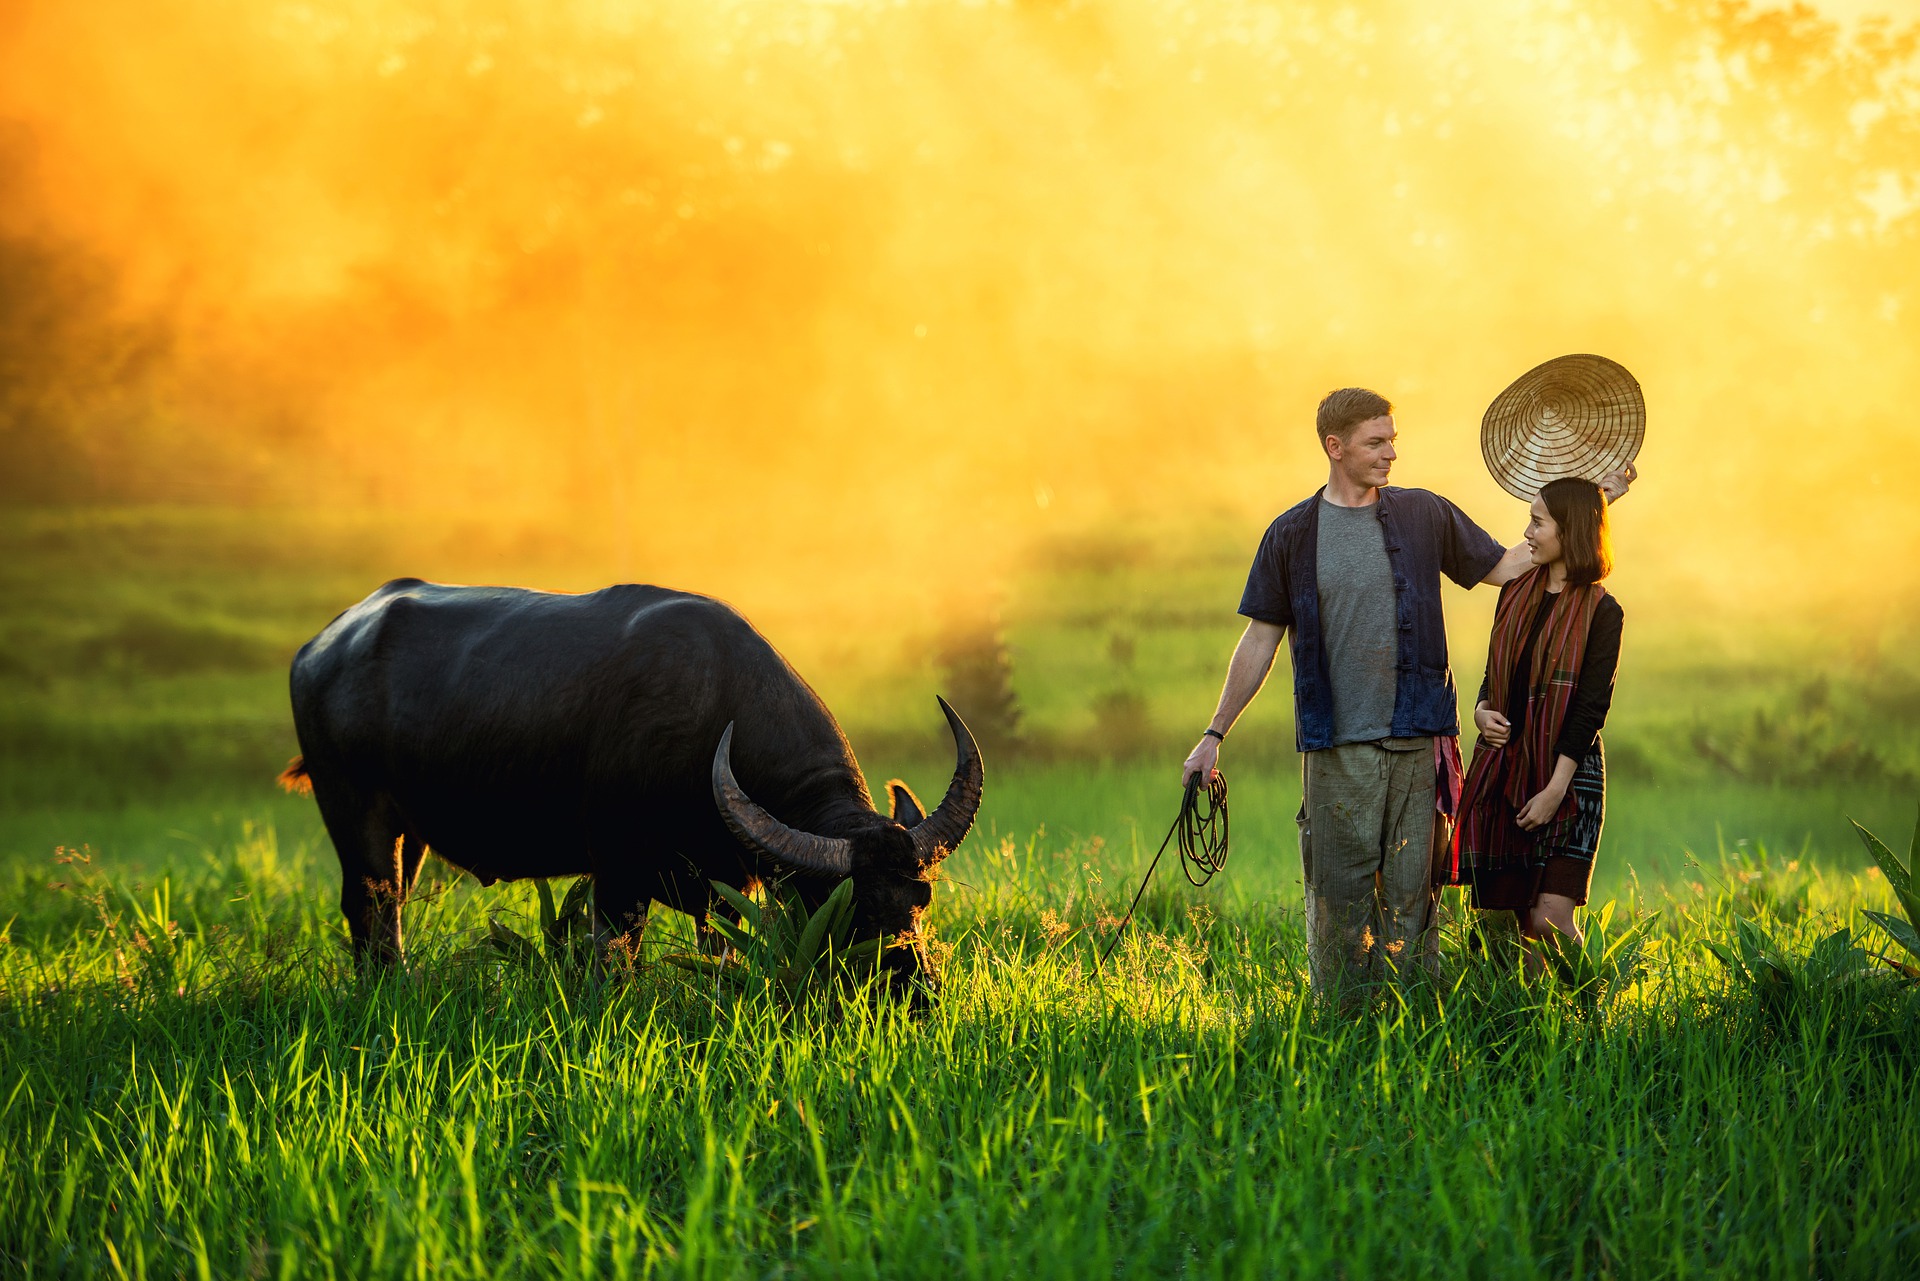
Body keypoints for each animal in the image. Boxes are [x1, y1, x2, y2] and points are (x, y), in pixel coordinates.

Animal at [280, 580, 990, 990]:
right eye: (854, 906)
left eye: (922, 896)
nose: (916, 991)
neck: (713, 713)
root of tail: (322, 645)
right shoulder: (617, 872)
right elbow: (617, 957)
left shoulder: (728, 882)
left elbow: (720, 953)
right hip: (352, 809)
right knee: (369, 905)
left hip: (412, 833)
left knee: (394, 903)